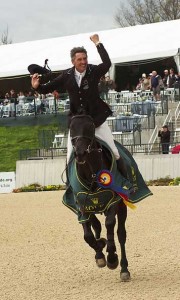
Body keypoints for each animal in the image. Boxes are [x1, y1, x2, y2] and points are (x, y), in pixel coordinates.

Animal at [62, 113, 153, 282]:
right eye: (71, 127)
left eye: (90, 127)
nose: (80, 153)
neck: (92, 175)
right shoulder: (82, 204)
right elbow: (88, 235)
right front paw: (100, 251)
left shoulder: (114, 202)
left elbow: (110, 225)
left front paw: (111, 257)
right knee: (96, 226)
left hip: (122, 207)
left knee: (121, 234)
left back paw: (124, 268)